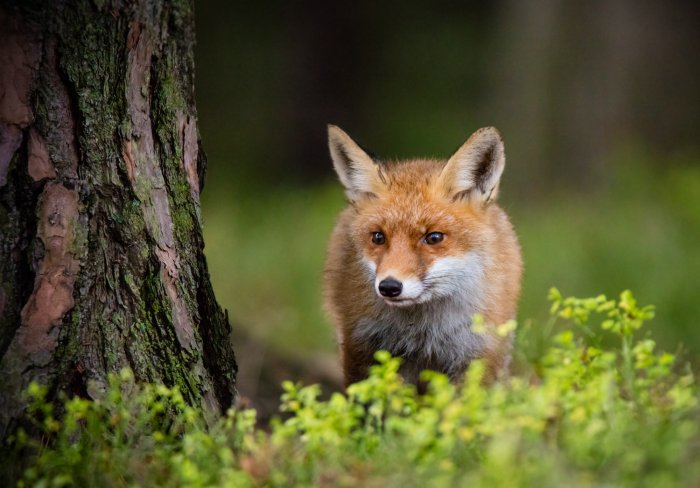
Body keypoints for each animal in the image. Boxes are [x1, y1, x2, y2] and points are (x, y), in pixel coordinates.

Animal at [323, 125, 523, 387]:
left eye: (434, 237)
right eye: (378, 237)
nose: (389, 287)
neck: (424, 330)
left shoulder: (478, 354)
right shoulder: (362, 346)